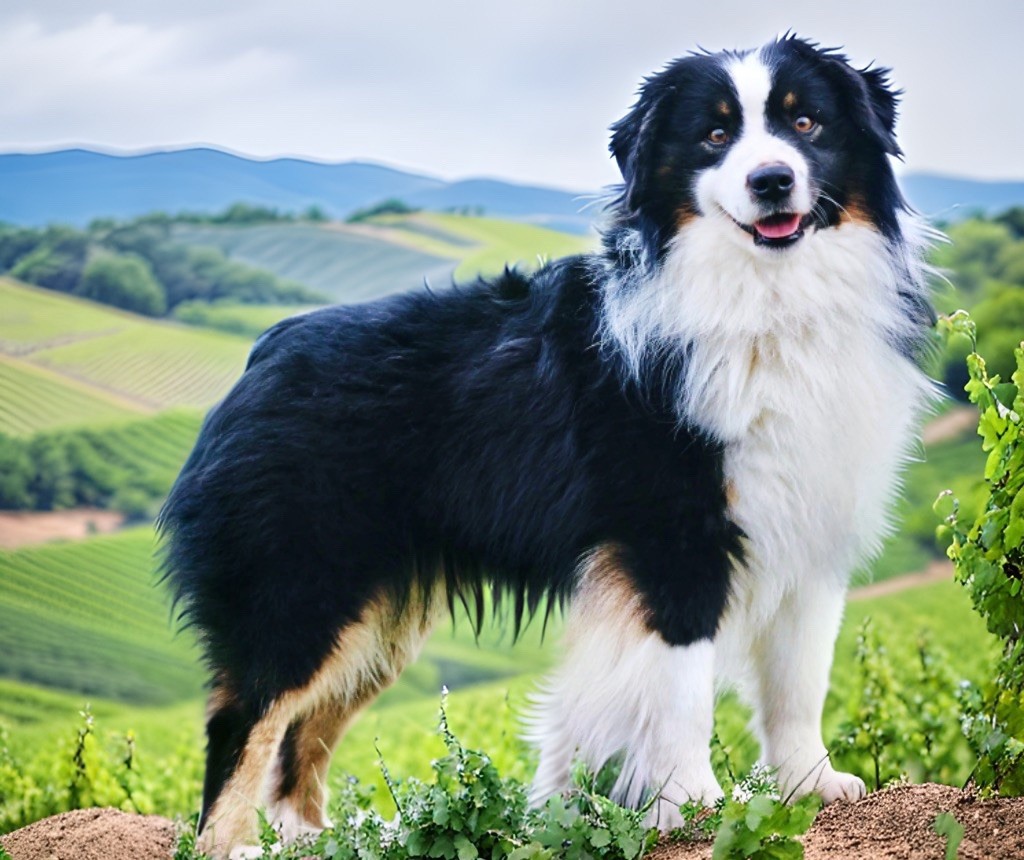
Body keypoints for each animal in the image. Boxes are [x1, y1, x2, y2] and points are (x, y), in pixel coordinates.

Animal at [157, 35, 937, 860]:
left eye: (806, 122)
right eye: (715, 135)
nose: (772, 181)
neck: (765, 301)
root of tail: (264, 352)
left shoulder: (811, 525)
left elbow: (799, 682)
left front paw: (811, 786)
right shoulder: (672, 539)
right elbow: (684, 685)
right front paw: (693, 802)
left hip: (377, 621)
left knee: (302, 736)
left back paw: (313, 841)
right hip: (301, 587)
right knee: (244, 725)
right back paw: (229, 844)